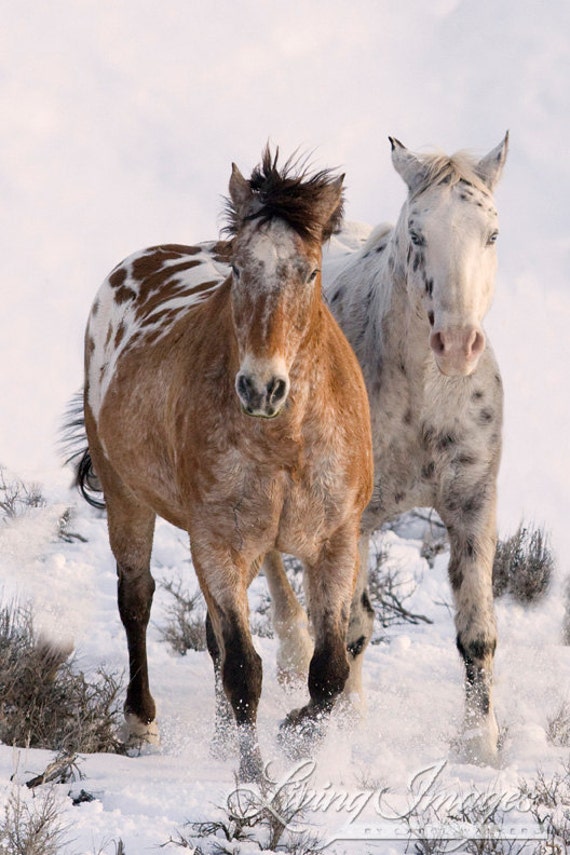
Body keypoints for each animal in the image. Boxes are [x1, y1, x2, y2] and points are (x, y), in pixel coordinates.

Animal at [67, 149, 372, 784]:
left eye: (310, 272)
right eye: (238, 271)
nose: (261, 387)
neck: (285, 444)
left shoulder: (334, 540)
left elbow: (329, 669)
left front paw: (295, 735)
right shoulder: (218, 543)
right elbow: (243, 668)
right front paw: (253, 773)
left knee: (210, 636)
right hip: (126, 495)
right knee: (137, 599)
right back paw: (141, 724)